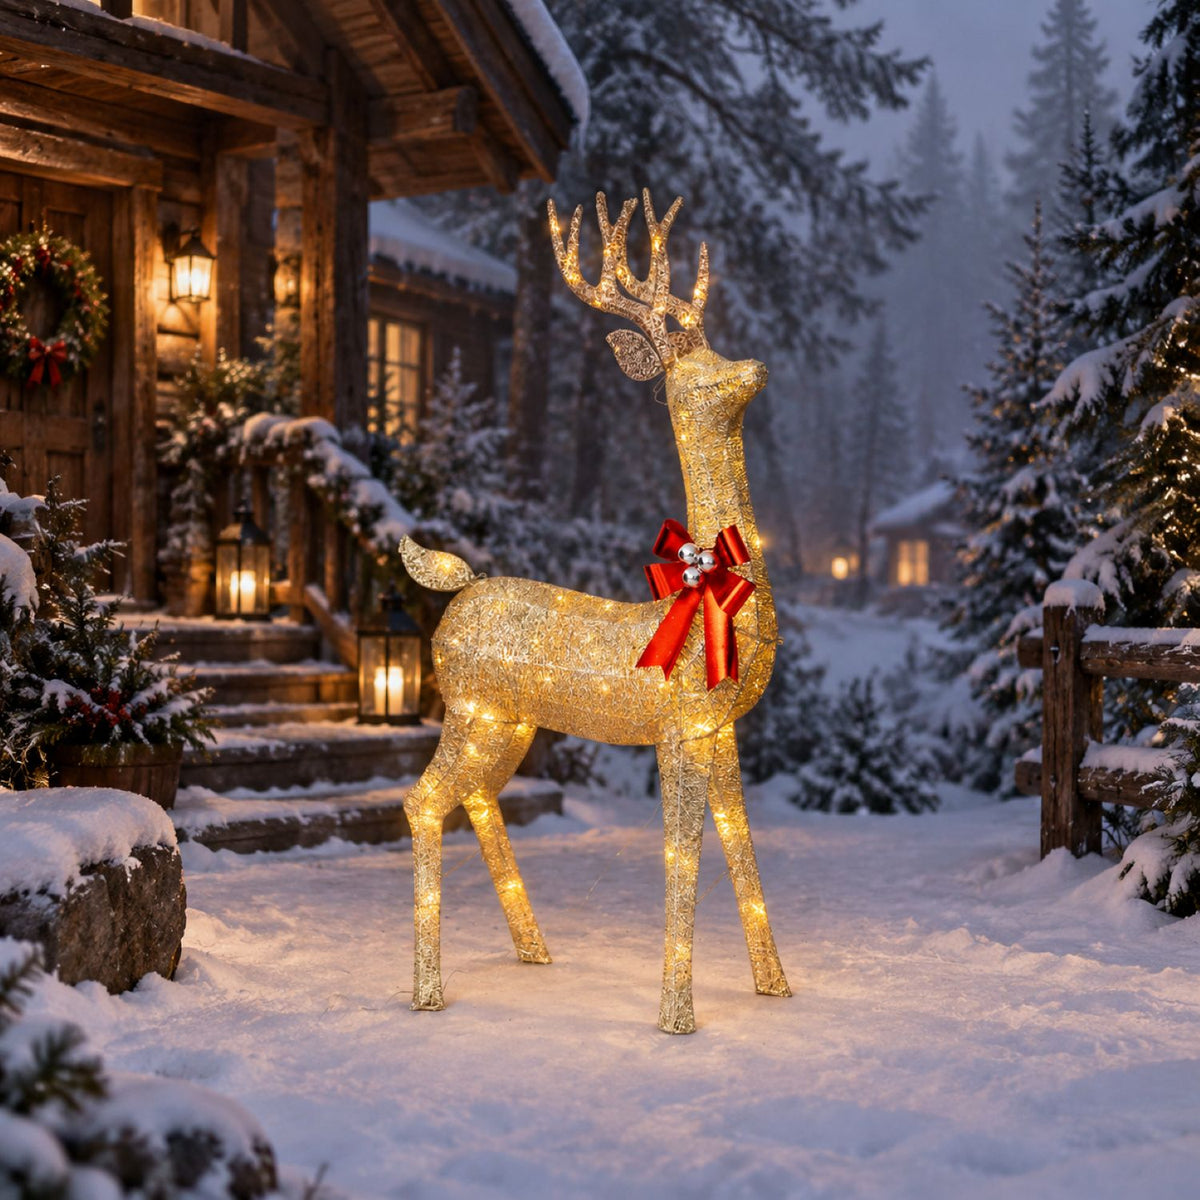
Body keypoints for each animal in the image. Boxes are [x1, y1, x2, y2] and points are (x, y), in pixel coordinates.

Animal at [398, 189, 790, 1034]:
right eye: (692, 372)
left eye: (720, 346)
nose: (754, 367)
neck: (706, 594)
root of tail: (458, 589)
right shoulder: (678, 730)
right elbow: (685, 855)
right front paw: (677, 1016)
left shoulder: (721, 730)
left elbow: (742, 848)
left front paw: (776, 986)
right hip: (469, 710)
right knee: (421, 802)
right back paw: (427, 992)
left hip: (509, 722)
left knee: (475, 798)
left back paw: (533, 950)